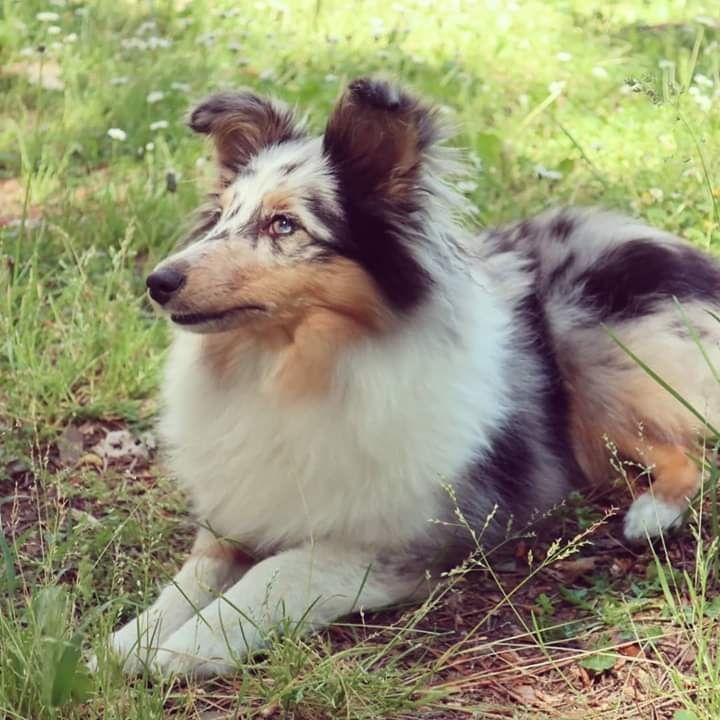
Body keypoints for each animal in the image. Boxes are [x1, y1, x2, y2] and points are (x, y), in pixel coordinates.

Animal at [101, 80, 720, 680]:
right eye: (224, 214)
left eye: (284, 224)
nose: (158, 282)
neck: (294, 370)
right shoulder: (238, 513)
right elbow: (191, 577)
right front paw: (132, 641)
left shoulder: (402, 545)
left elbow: (279, 572)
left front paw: (187, 648)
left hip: (593, 349)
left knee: (692, 454)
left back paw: (649, 515)